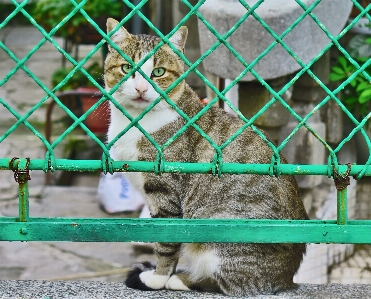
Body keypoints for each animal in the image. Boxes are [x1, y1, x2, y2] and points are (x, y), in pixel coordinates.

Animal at [104, 18, 308, 298]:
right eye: (126, 68)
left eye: (158, 72)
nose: (141, 88)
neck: (135, 122)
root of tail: (287, 277)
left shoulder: (165, 193)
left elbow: (165, 243)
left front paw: (158, 278)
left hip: (222, 229)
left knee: (232, 284)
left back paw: (181, 280)